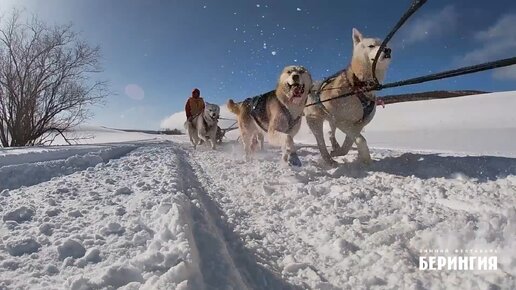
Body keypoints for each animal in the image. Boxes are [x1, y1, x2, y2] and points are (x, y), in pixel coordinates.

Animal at [302, 28, 392, 167]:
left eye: (385, 45)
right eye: (371, 45)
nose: (388, 50)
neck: (360, 85)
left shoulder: (358, 123)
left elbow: (349, 144)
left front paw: (340, 152)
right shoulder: (343, 121)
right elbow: (361, 140)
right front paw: (366, 159)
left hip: (331, 120)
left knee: (330, 133)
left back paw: (335, 146)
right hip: (316, 120)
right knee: (321, 142)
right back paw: (329, 159)